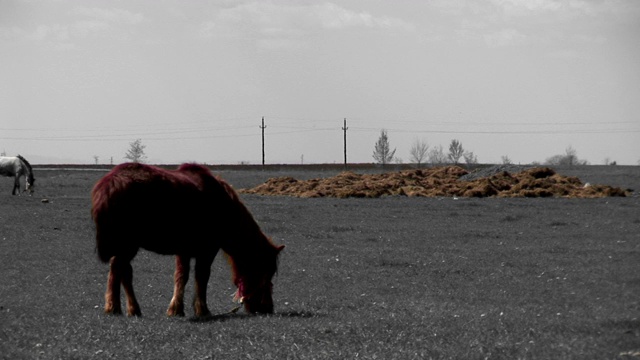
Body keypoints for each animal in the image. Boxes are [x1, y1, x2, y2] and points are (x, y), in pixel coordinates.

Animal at [89, 163, 282, 318]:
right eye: (266, 271)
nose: (267, 308)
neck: (223, 205)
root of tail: (109, 184)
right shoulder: (206, 250)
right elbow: (197, 277)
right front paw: (197, 309)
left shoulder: (185, 250)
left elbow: (183, 276)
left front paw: (178, 308)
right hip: (128, 246)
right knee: (121, 270)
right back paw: (124, 308)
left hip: (124, 246)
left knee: (119, 270)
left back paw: (120, 307)